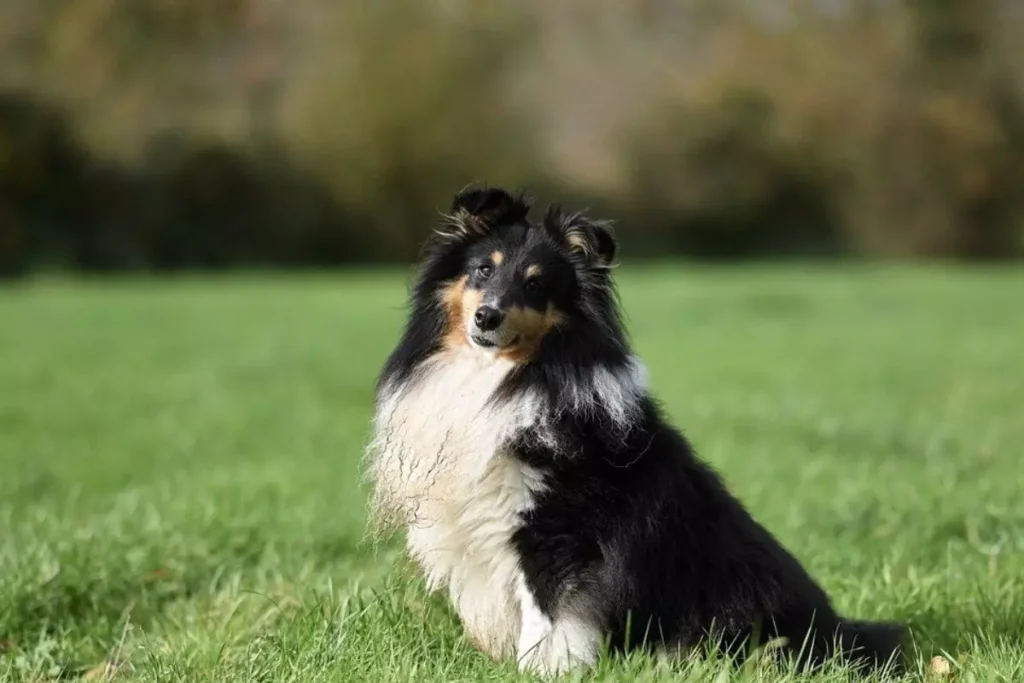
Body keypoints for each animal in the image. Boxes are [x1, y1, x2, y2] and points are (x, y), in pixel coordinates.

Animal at [366, 188, 905, 679]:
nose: (487, 316)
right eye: (483, 270)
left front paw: (542, 671)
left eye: (537, 285)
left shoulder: (553, 531)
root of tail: (841, 635)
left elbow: (546, 619)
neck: (498, 376)